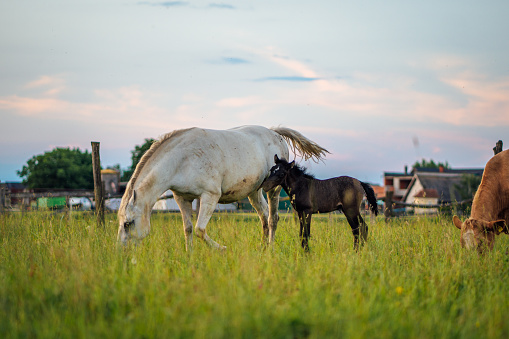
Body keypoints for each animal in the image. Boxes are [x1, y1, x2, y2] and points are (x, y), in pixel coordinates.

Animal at [117, 126, 328, 251]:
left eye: (128, 223)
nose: (120, 253)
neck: (183, 159)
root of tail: (274, 132)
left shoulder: (210, 196)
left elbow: (200, 229)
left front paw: (223, 249)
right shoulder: (182, 198)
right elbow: (188, 229)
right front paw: (189, 256)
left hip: (273, 191)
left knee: (273, 219)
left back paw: (270, 249)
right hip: (254, 193)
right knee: (264, 218)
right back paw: (262, 248)